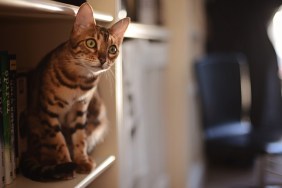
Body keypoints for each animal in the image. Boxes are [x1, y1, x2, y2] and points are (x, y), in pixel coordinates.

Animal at [20, 1, 130, 181]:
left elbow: (79, 137)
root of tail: (28, 149)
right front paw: (66, 164)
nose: (103, 59)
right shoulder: (49, 111)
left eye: (112, 49)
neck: (79, 82)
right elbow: (58, 140)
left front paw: (81, 160)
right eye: (91, 43)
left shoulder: (80, 109)